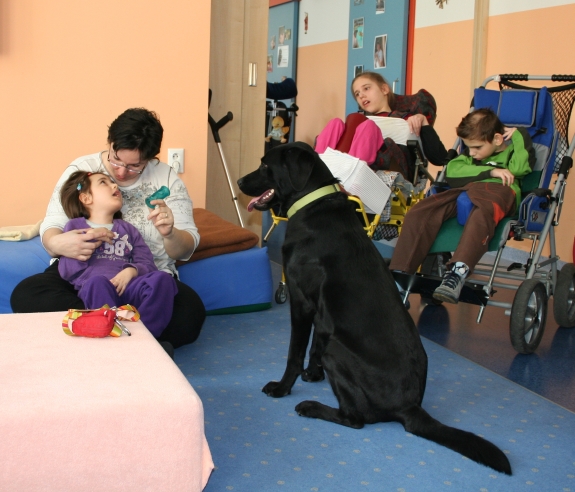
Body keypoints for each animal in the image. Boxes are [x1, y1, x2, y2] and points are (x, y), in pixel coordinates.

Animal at [237, 142, 511, 475]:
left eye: (265, 165)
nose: (239, 182)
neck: (311, 203)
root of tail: (410, 406)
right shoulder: (322, 314)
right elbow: (315, 344)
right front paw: (313, 374)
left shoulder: (301, 302)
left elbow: (295, 353)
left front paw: (283, 387)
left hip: (337, 352)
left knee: (356, 419)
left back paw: (312, 407)